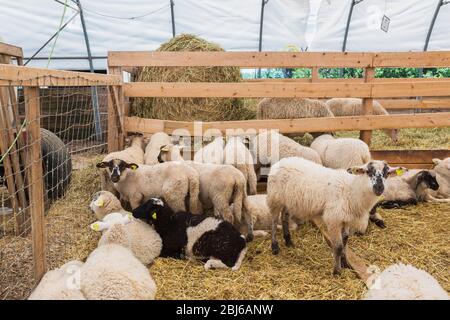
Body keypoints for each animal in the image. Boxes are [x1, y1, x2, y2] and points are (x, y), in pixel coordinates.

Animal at [266, 158, 400, 276]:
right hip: (275, 198)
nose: (379, 188)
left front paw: (344, 262)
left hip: (288, 200)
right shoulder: (333, 220)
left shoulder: (346, 219)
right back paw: (275, 247)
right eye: (368, 171)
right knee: (273, 221)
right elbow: (339, 246)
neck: (352, 189)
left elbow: (345, 241)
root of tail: (282, 160)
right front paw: (337, 271)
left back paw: (288, 241)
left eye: (387, 173)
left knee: (284, 217)